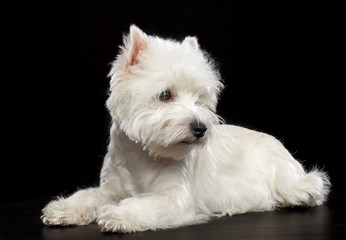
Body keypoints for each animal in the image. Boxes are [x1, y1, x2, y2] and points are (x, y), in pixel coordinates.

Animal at [42, 25, 332, 232]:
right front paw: (63, 210)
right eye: (165, 95)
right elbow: (89, 195)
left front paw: (118, 214)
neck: (142, 157)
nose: (200, 128)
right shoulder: (111, 189)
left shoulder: (176, 199)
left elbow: (145, 204)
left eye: (199, 99)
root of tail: (278, 142)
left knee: (313, 186)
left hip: (288, 178)